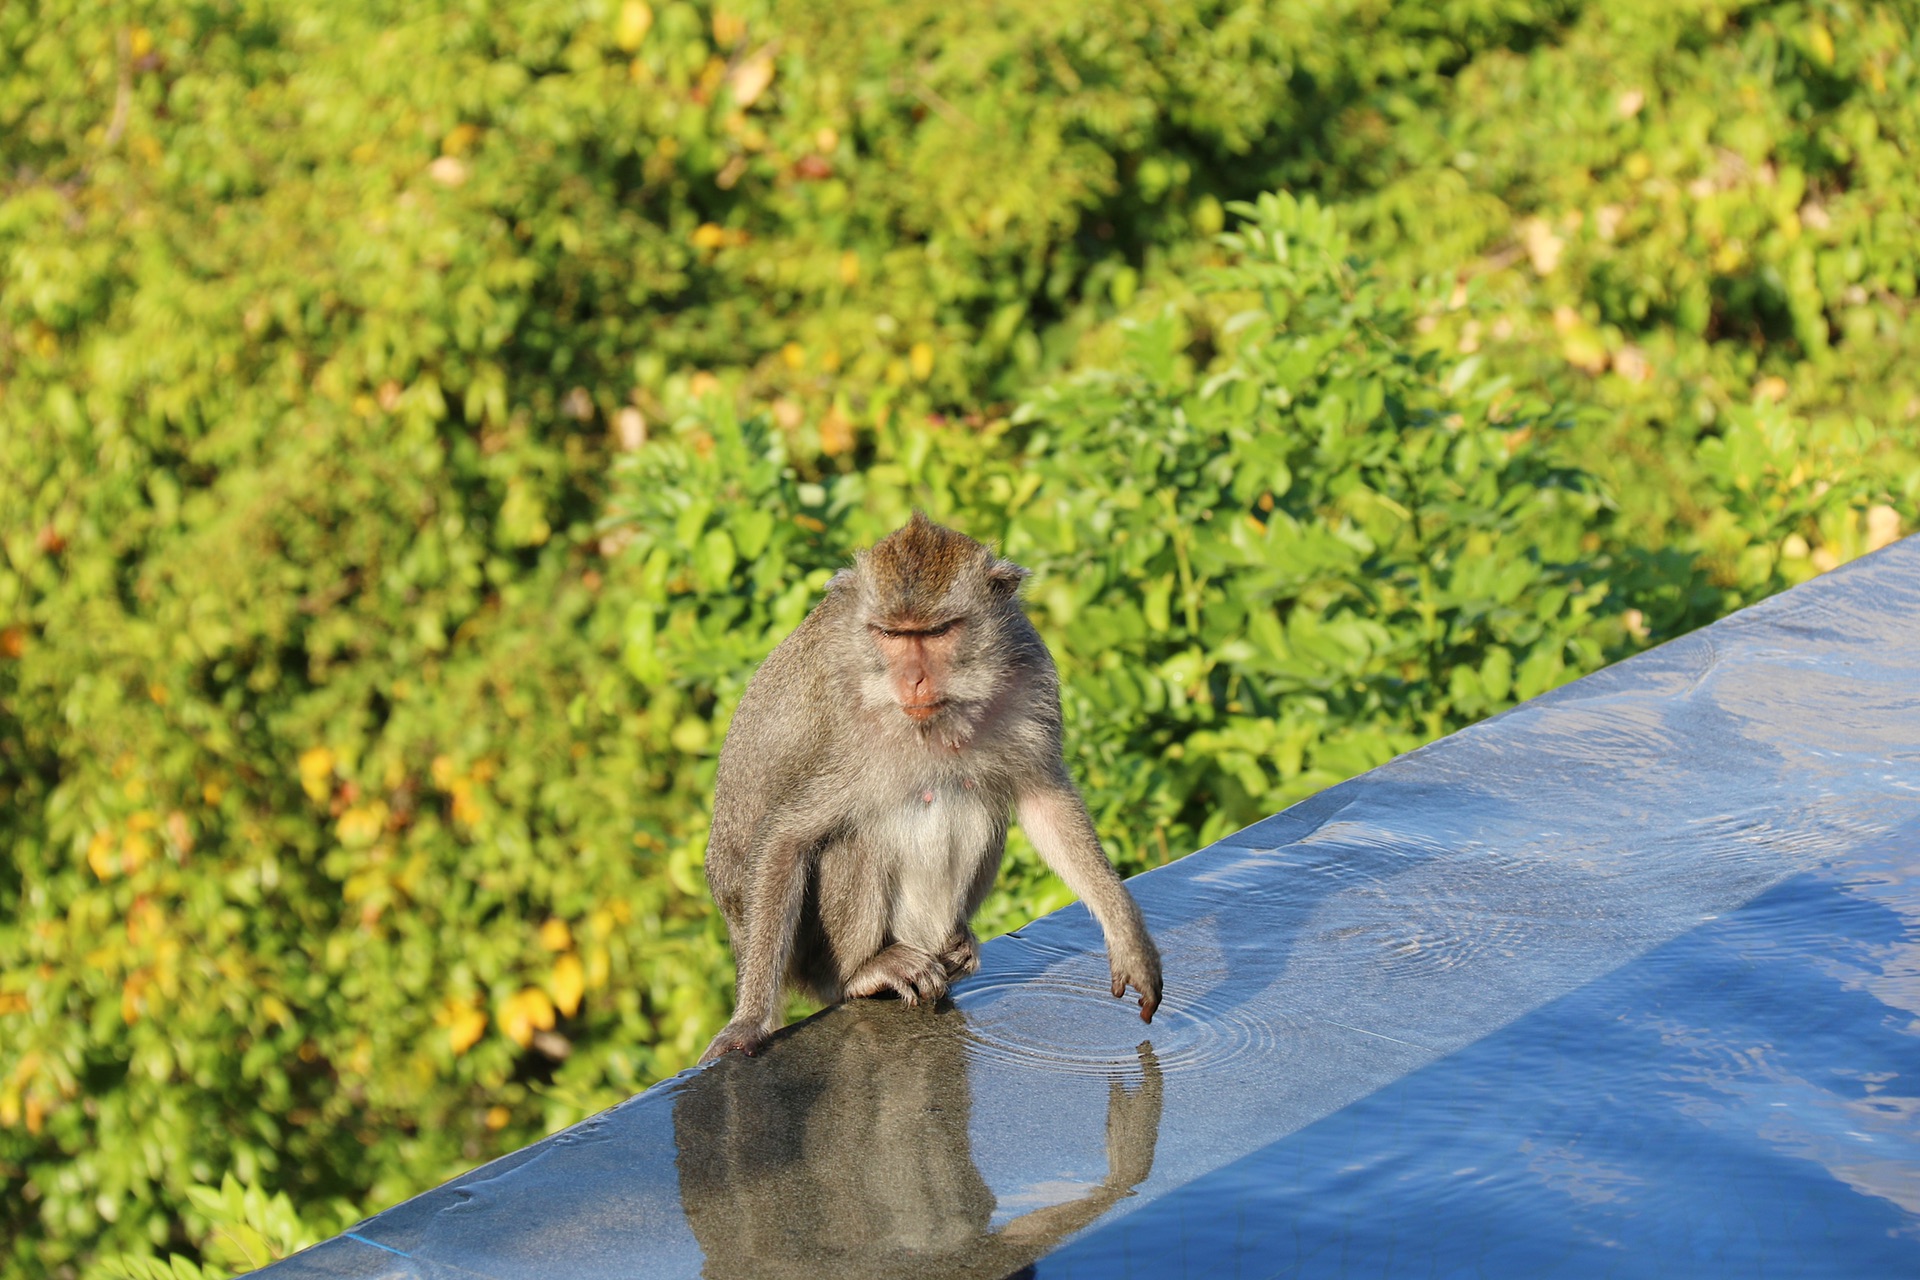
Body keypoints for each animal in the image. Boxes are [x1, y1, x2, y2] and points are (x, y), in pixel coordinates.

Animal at [698, 510, 1159, 1059]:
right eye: (892, 635)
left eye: (938, 632)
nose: (913, 680)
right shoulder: (845, 736)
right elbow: (787, 837)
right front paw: (748, 1022)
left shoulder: (1030, 671)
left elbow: (1043, 801)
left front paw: (1130, 941)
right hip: (807, 960)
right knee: (858, 838)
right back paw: (861, 973)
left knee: (975, 797)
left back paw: (954, 945)